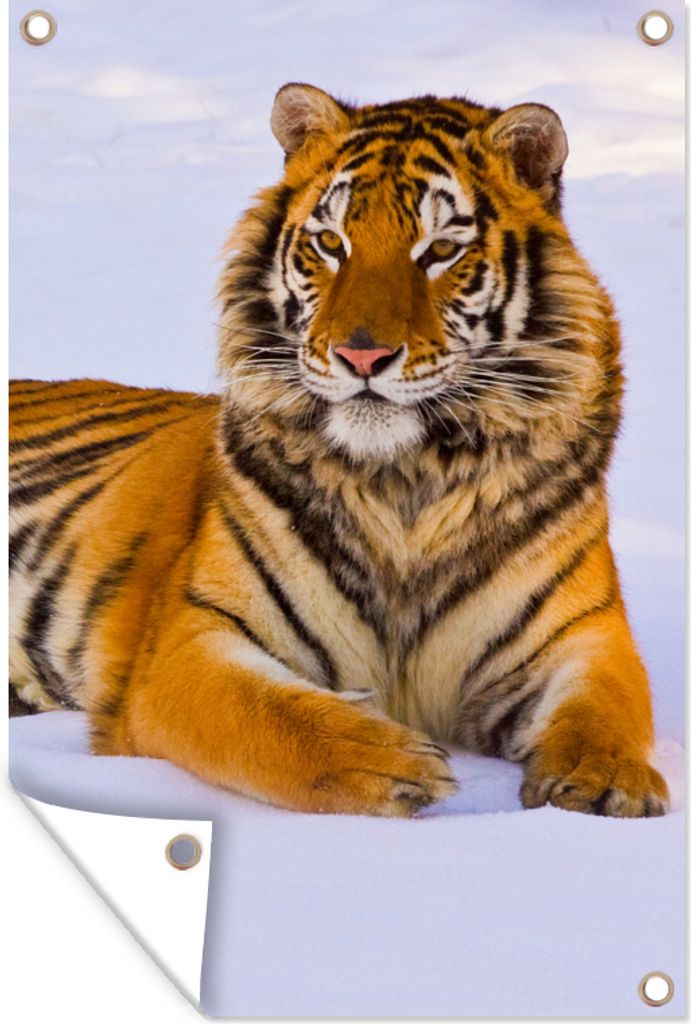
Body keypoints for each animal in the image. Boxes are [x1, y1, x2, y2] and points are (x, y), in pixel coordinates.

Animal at [9, 83, 669, 818]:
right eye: (330, 242)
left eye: (440, 250)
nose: (362, 356)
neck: (408, 478)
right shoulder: (192, 638)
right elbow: (265, 715)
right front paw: (392, 761)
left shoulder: (584, 636)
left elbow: (605, 711)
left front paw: (603, 783)